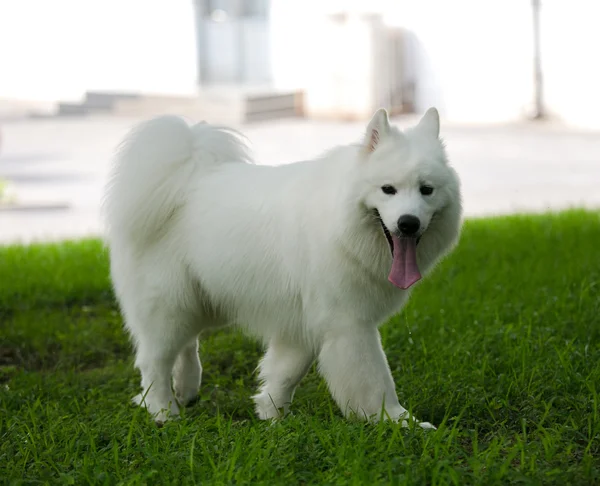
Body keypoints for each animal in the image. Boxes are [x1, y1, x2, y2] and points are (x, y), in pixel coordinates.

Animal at [103, 108, 462, 428]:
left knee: (186, 343)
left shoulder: (303, 323)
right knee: (154, 360)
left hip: (202, 301)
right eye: (388, 189)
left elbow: (286, 371)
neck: (340, 225)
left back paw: (187, 388)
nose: (408, 223)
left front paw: (272, 415)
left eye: (426, 190)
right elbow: (375, 381)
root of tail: (187, 178)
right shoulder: (349, 325)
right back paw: (163, 410)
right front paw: (399, 422)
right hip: (168, 305)